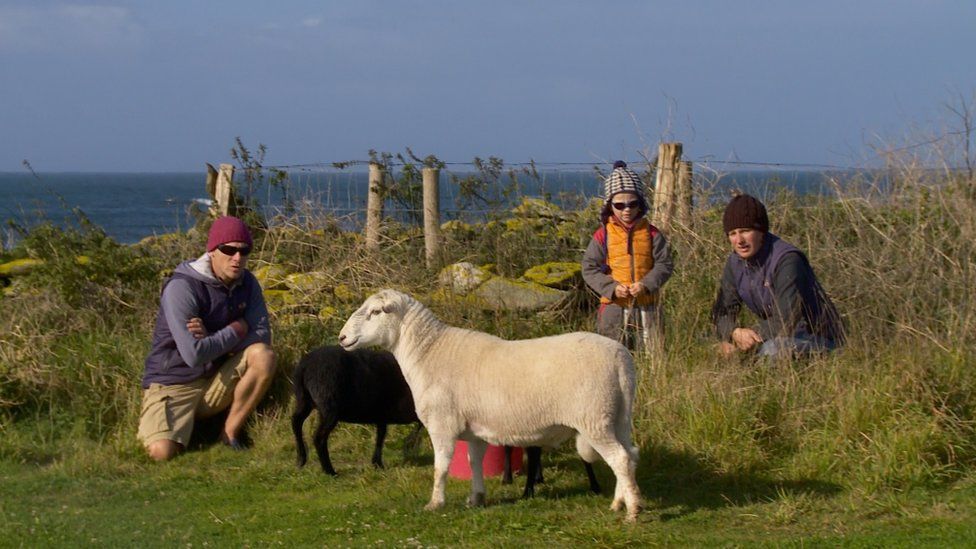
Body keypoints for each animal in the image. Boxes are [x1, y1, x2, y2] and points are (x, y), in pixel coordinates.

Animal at [340, 288, 644, 520]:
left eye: (375, 312)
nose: (342, 337)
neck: (428, 352)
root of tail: (621, 358)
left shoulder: (441, 423)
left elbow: (441, 466)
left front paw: (435, 503)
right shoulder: (475, 430)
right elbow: (474, 462)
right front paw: (476, 497)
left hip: (594, 417)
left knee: (619, 458)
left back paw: (632, 512)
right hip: (618, 415)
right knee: (629, 455)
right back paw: (619, 502)